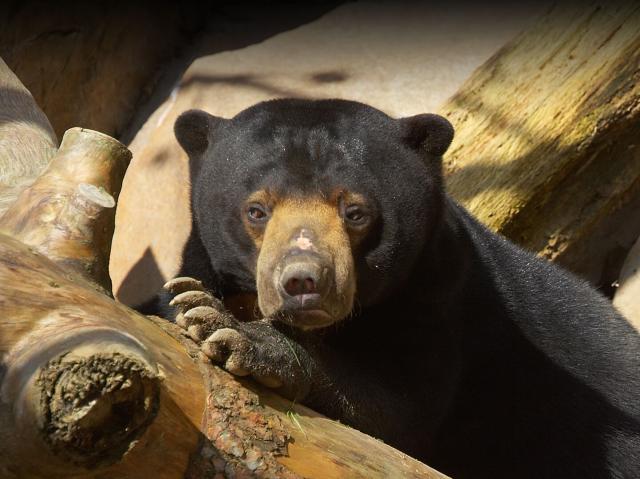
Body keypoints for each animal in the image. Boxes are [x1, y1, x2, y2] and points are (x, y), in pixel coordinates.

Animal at [145, 99, 640, 479]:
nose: (304, 281)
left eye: (355, 212)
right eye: (256, 210)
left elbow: (399, 413)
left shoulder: (439, 297)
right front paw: (194, 302)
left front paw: (230, 330)